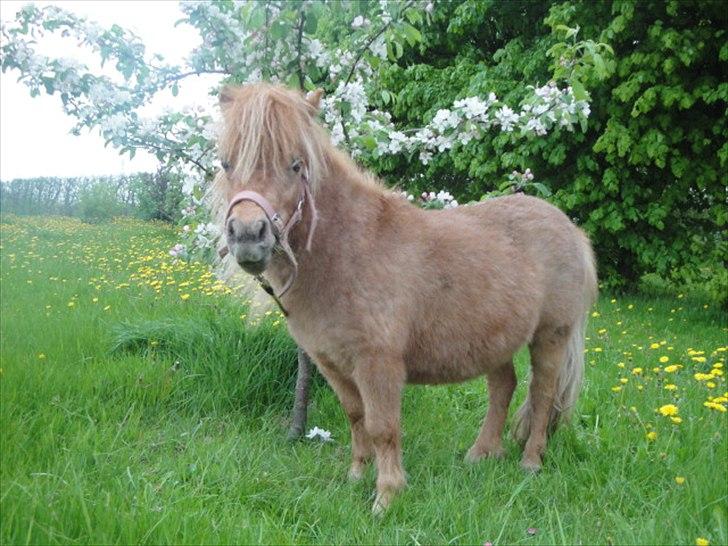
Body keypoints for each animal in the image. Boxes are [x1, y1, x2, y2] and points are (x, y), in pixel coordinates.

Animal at [211, 82, 598, 514]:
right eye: (226, 164)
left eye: (296, 165)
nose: (248, 235)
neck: (347, 253)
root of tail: (571, 229)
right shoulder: (332, 364)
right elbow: (356, 417)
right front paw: (356, 476)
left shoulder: (378, 364)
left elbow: (382, 427)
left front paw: (387, 496)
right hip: (495, 339)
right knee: (504, 387)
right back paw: (481, 454)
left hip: (551, 337)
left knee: (543, 393)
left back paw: (531, 462)